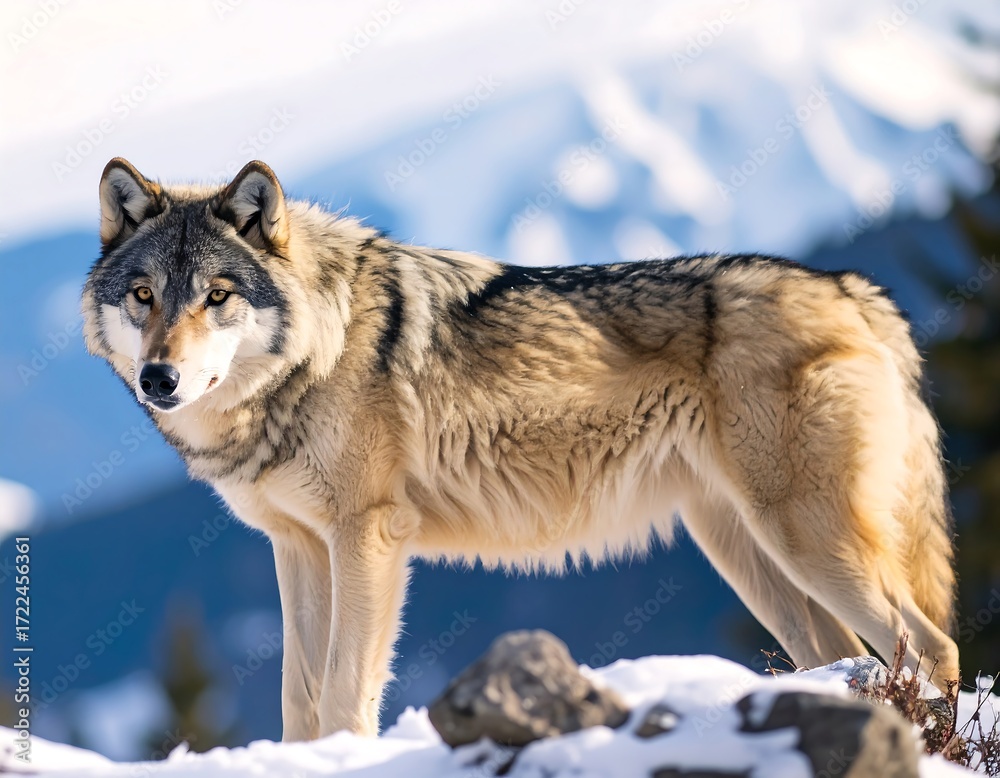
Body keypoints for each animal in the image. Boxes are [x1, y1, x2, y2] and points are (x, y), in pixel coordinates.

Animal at [83, 158, 960, 740]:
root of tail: (851, 287)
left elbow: (341, 692)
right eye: (144, 296)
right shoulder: (297, 546)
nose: (160, 377)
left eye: (217, 296)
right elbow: (298, 699)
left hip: (806, 541)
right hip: (750, 556)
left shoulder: (368, 538)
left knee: (931, 644)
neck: (316, 352)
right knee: (844, 662)